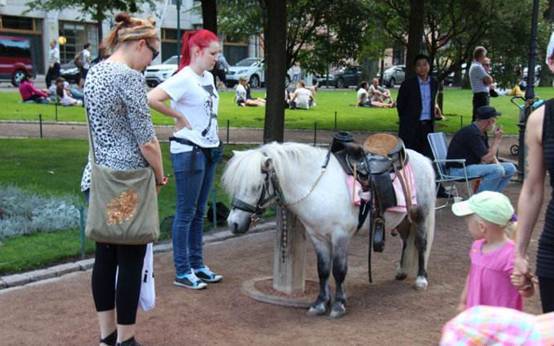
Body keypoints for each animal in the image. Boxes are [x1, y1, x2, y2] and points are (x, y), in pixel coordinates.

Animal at [222, 143, 434, 318]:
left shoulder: (340, 237)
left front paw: (339, 305)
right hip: (404, 219)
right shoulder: (318, 237)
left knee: (421, 243)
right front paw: (320, 304)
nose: (233, 224)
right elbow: (323, 270)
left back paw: (421, 279)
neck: (318, 186)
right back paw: (401, 271)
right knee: (406, 241)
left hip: (420, 216)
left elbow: (339, 271)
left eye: (256, 186)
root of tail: (423, 159)